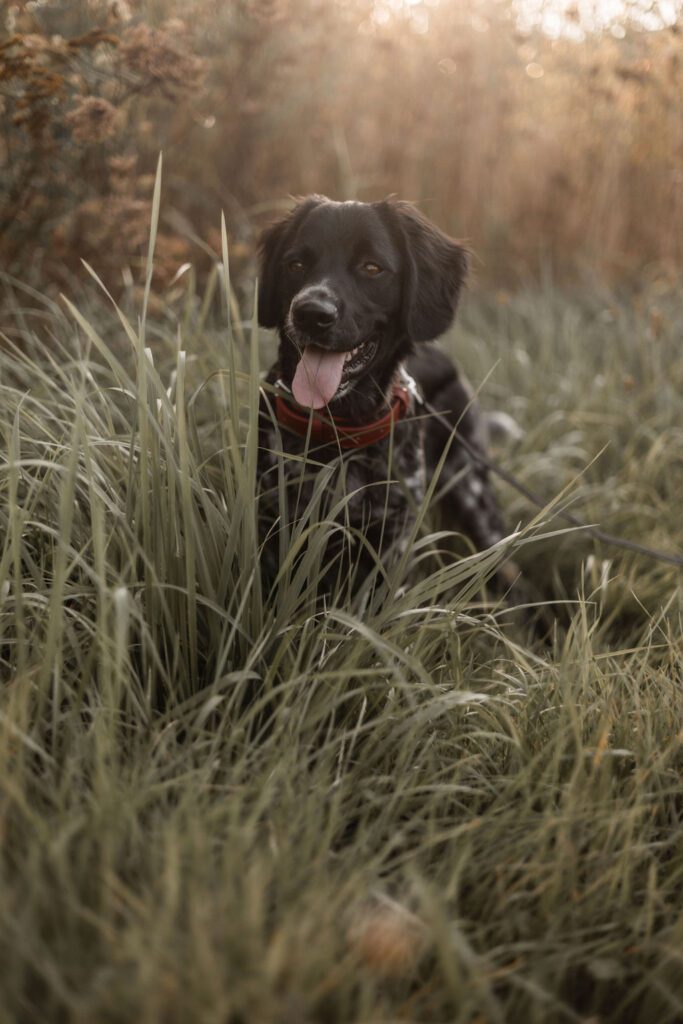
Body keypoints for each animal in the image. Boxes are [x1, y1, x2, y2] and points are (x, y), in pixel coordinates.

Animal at [255, 194, 507, 593]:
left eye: (371, 267)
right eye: (295, 264)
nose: (311, 312)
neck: (339, 429)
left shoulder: (389, 543)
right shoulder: (271, 526)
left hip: (474, 495)